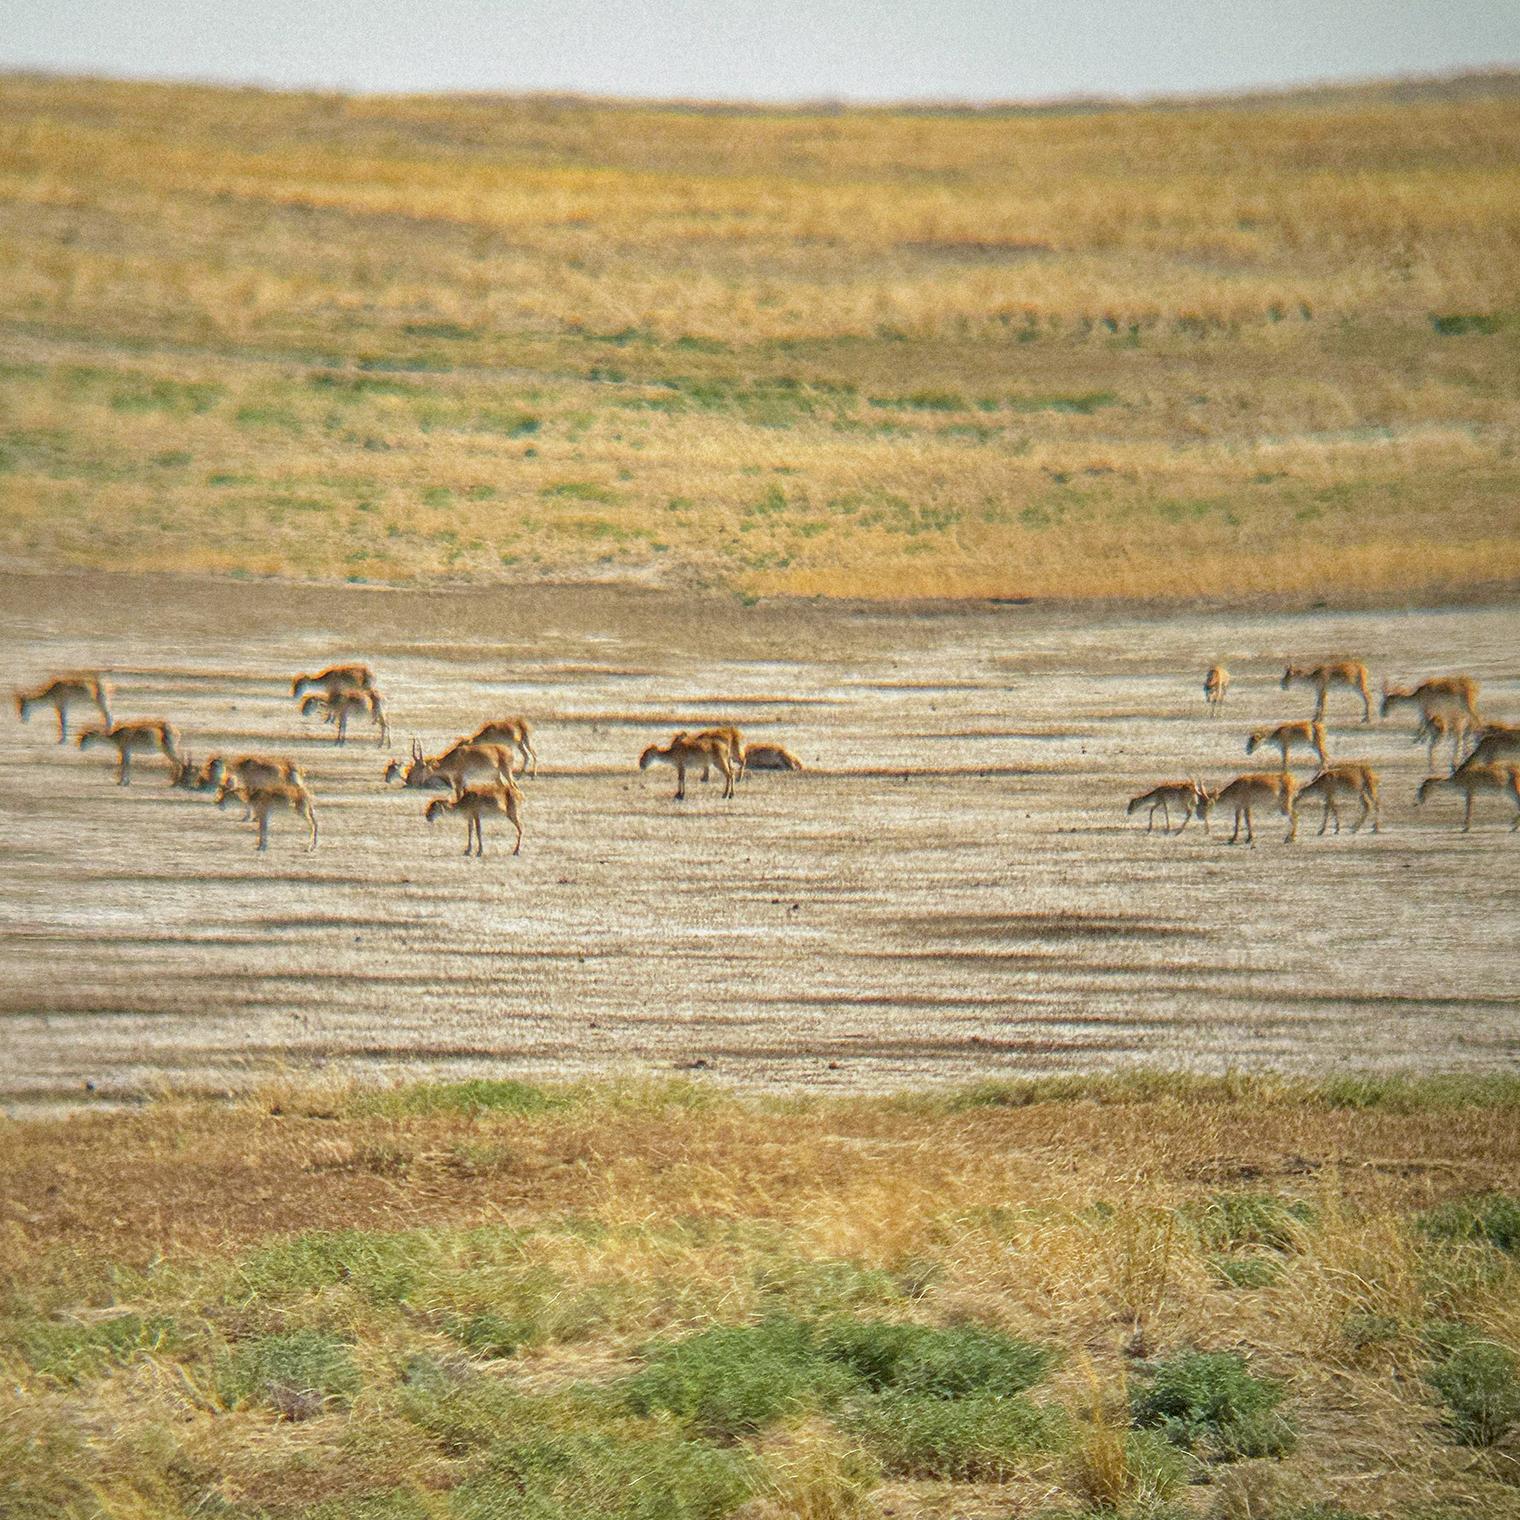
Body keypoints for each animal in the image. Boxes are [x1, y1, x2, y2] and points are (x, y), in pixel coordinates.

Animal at [386, 735, 516, 796]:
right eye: (413, 767)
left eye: (421, 767)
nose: (409, 781)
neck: (454, 758)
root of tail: (508, 750)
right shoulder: (461, 781)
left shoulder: (459, 780)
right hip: (496, 776)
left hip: (506, 772)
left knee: (513, 785)